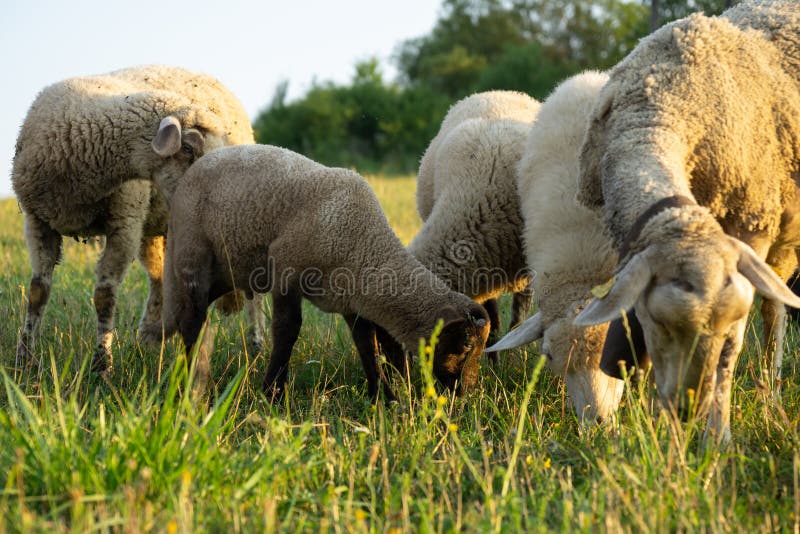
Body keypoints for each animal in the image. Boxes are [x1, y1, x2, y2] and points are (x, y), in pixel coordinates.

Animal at [14, 65, 266, 376]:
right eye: (189, 149)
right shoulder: (37, 221)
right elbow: (38, 291)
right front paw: (24, 359)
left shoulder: (126, 223)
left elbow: (104, 297)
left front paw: (102, 365)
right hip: (159, 226)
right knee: (160, 279)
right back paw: (151, 338)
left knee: (253, 289)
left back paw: (256, 346)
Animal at [159, 144, 490, 400]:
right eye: (465, 345)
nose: (466, 394)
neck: (366, 245)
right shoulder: (286, 269)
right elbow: (287, 330)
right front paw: (273, 393)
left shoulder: (350, 298)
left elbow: (366, 343)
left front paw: (383, 396)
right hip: (193, 255)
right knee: (191, 321)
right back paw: (189, 378)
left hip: (224, 270)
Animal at [572, 1, 800, 444]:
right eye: (659, 322)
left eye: (725, 331)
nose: (688, 408)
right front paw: (655, 429)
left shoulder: (750, 229)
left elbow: (735, 351)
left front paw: (717, 438)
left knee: (773, 313)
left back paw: (769, 400)